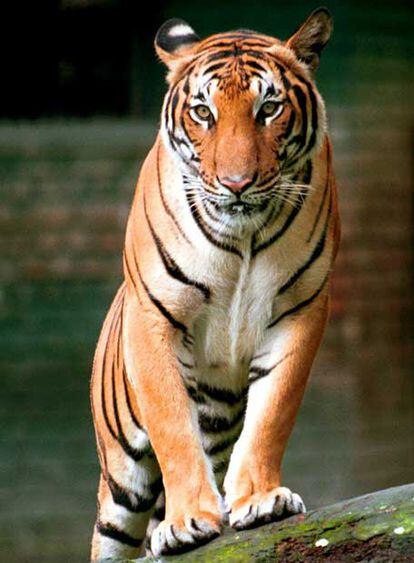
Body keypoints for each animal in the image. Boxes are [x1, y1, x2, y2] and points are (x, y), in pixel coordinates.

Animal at [90, 6, 340, 560]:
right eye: (203, 112)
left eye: (269, 108)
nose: (236, 184)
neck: (243, 233)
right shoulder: (154, 316)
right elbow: (173, 426)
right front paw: (189, 521)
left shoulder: (301, 310)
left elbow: (272, 414)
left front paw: (260, 499)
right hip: (120, 484)